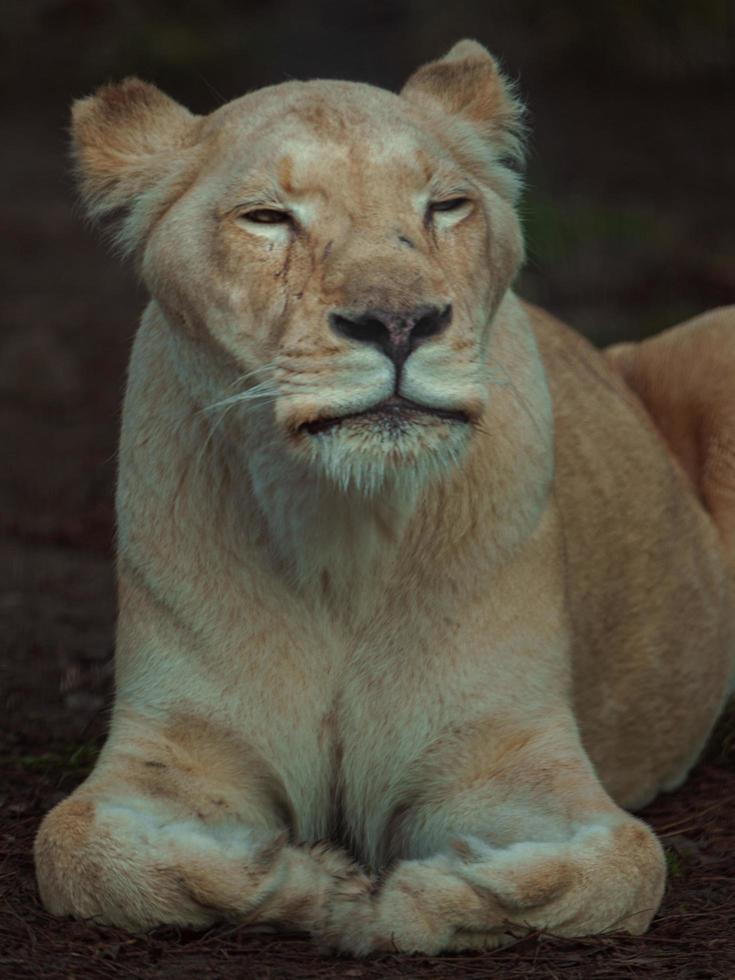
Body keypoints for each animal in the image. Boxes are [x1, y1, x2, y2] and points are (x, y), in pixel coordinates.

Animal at [36, 42, 735, 952]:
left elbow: (619, 865)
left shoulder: (505, 750)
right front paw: (311, 882)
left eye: (445, 205)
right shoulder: (181, 746)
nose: (399, 323)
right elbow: (80, 848)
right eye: (267, 217)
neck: (346, 535)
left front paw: (416, 897)